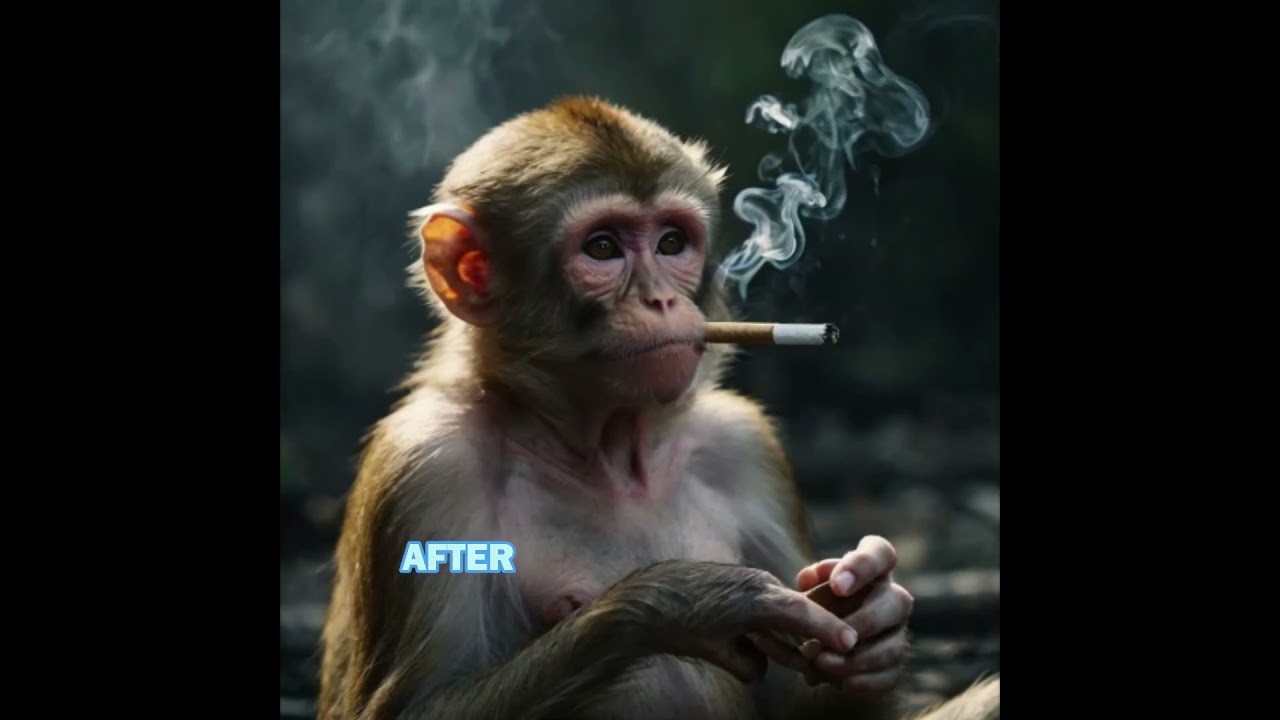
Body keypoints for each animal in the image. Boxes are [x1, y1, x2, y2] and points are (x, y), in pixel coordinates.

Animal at [317, 96, 999, 720]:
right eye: (601, 248)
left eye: (673, 243)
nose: (662, 301)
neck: (605, 447)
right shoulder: (426, 466)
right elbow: (417, 707)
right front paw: (688, 600)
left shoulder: (743, 442)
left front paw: (873, 617)